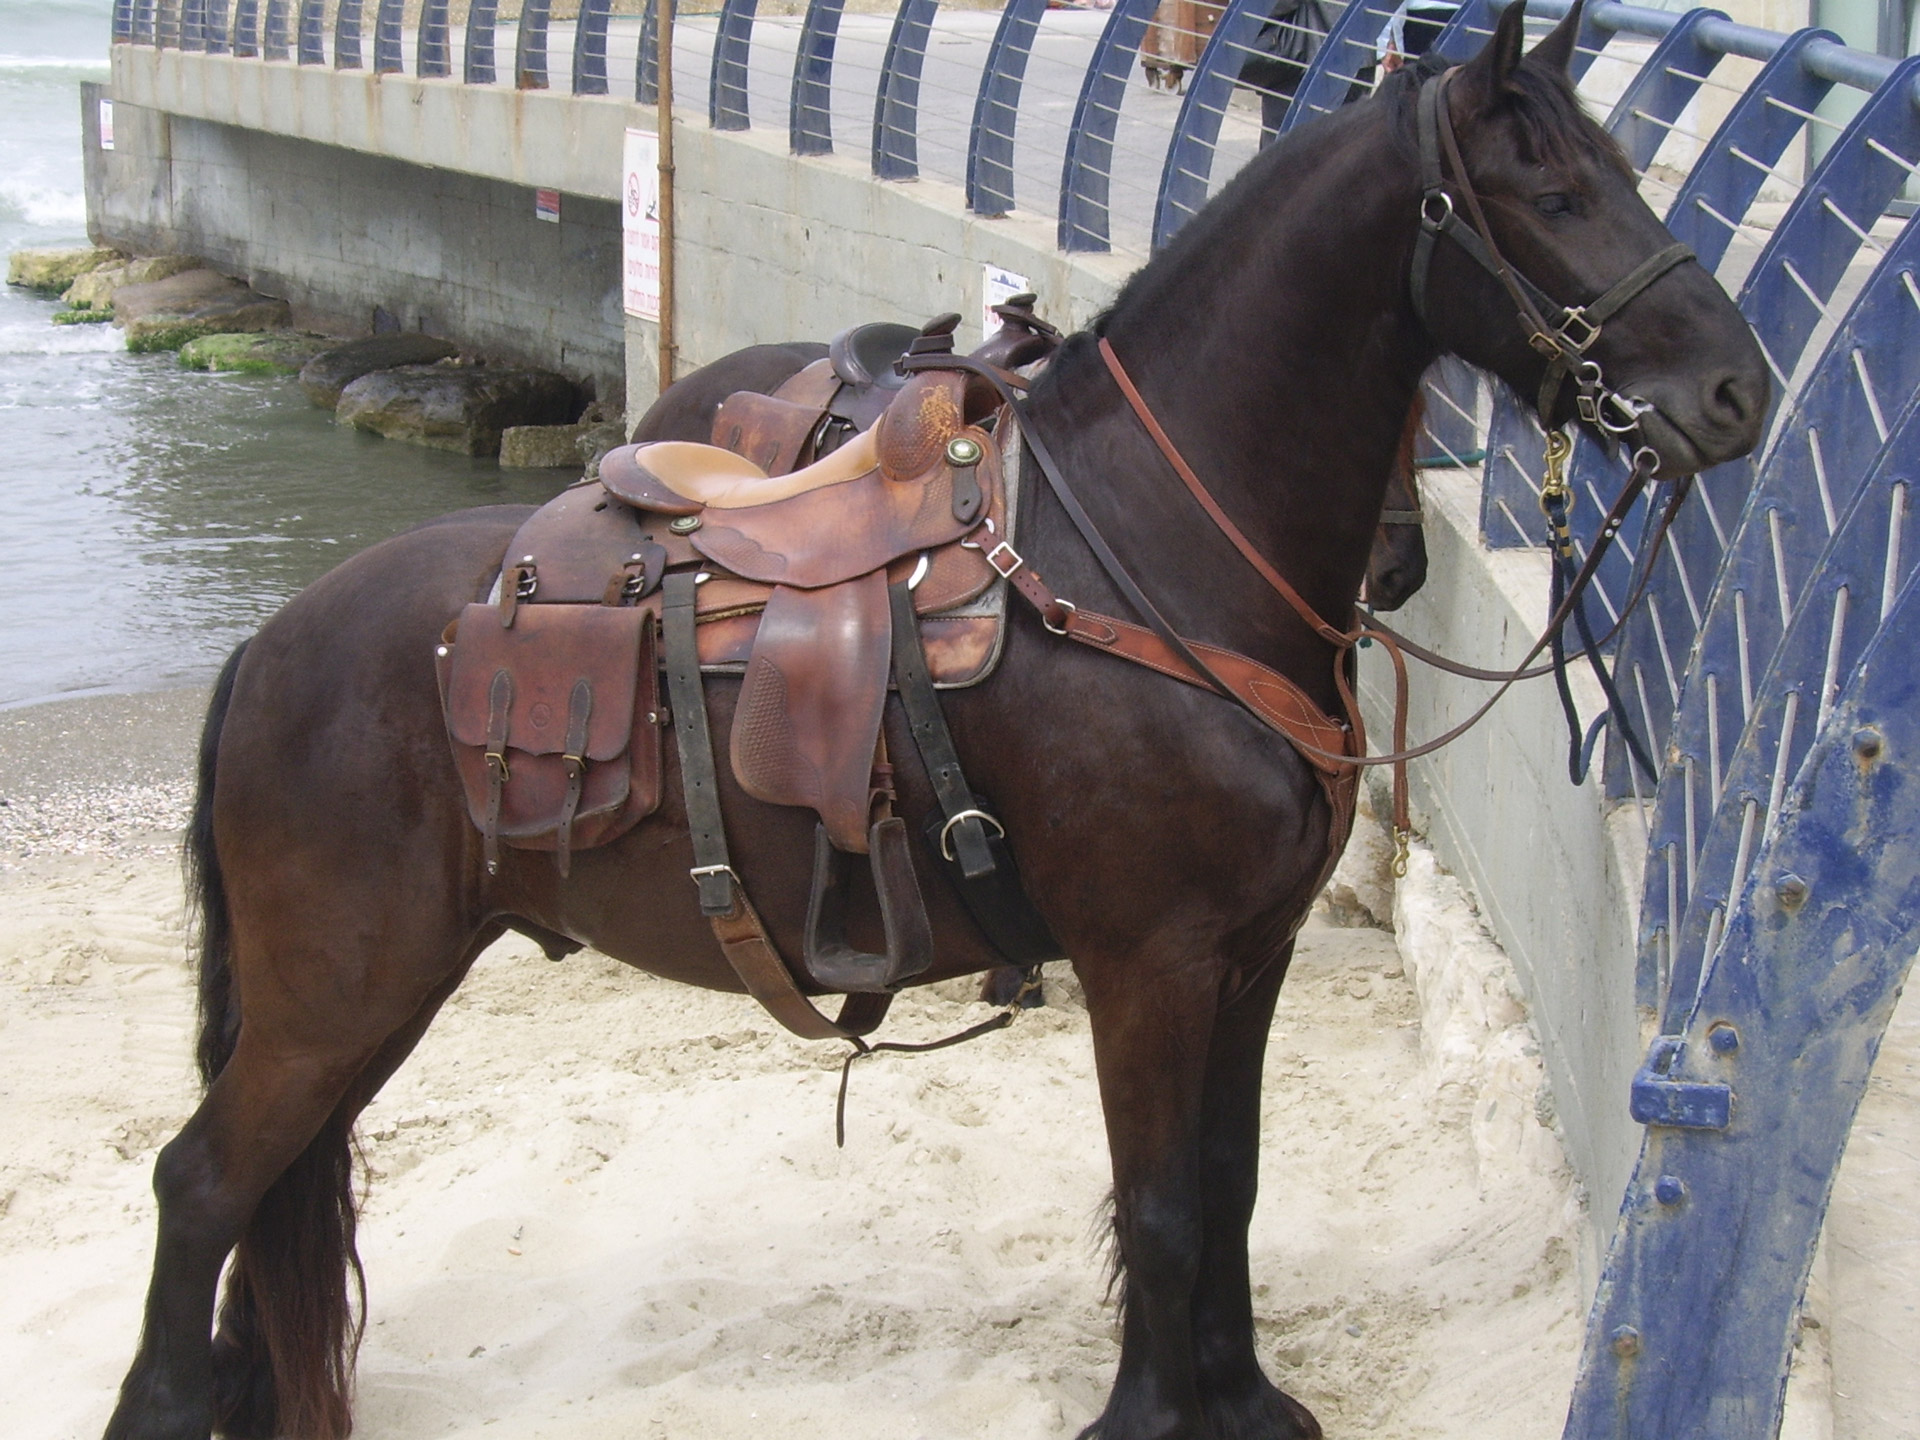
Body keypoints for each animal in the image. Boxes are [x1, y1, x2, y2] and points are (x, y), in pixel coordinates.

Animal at [101, 5, 1758, 1436]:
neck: (1145, 550)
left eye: (1625, 171)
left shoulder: (1250, 957)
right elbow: (1162, 1205)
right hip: (336, 989)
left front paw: (1239, 1403)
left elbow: (1229, 1185)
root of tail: (269, 646)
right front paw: (1152, 1415)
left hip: (374, 990)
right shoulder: (1150, 961)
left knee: (274, 1186)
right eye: (1549, 192)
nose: (1738, 391)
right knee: (200, 1185)